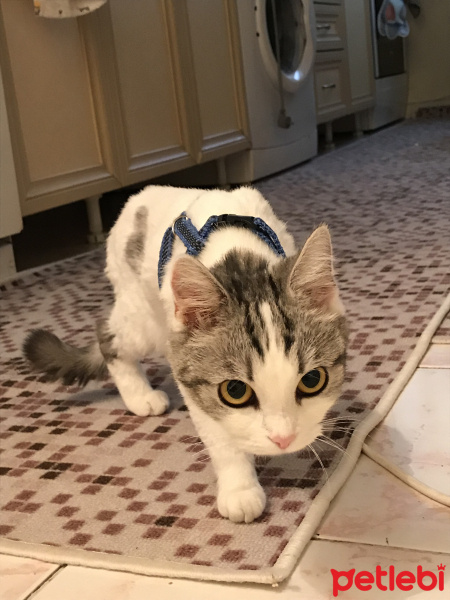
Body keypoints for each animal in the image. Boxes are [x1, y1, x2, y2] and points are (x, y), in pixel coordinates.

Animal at [23, 185, 348, 524]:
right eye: (235, 391)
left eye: (313, 380)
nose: (283, 440)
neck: (239, 254)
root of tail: (140, 196)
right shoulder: (189, 371)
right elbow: (220, 437)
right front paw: (239, 489)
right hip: (145, 318)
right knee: (108, 335)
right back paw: (140, 395)